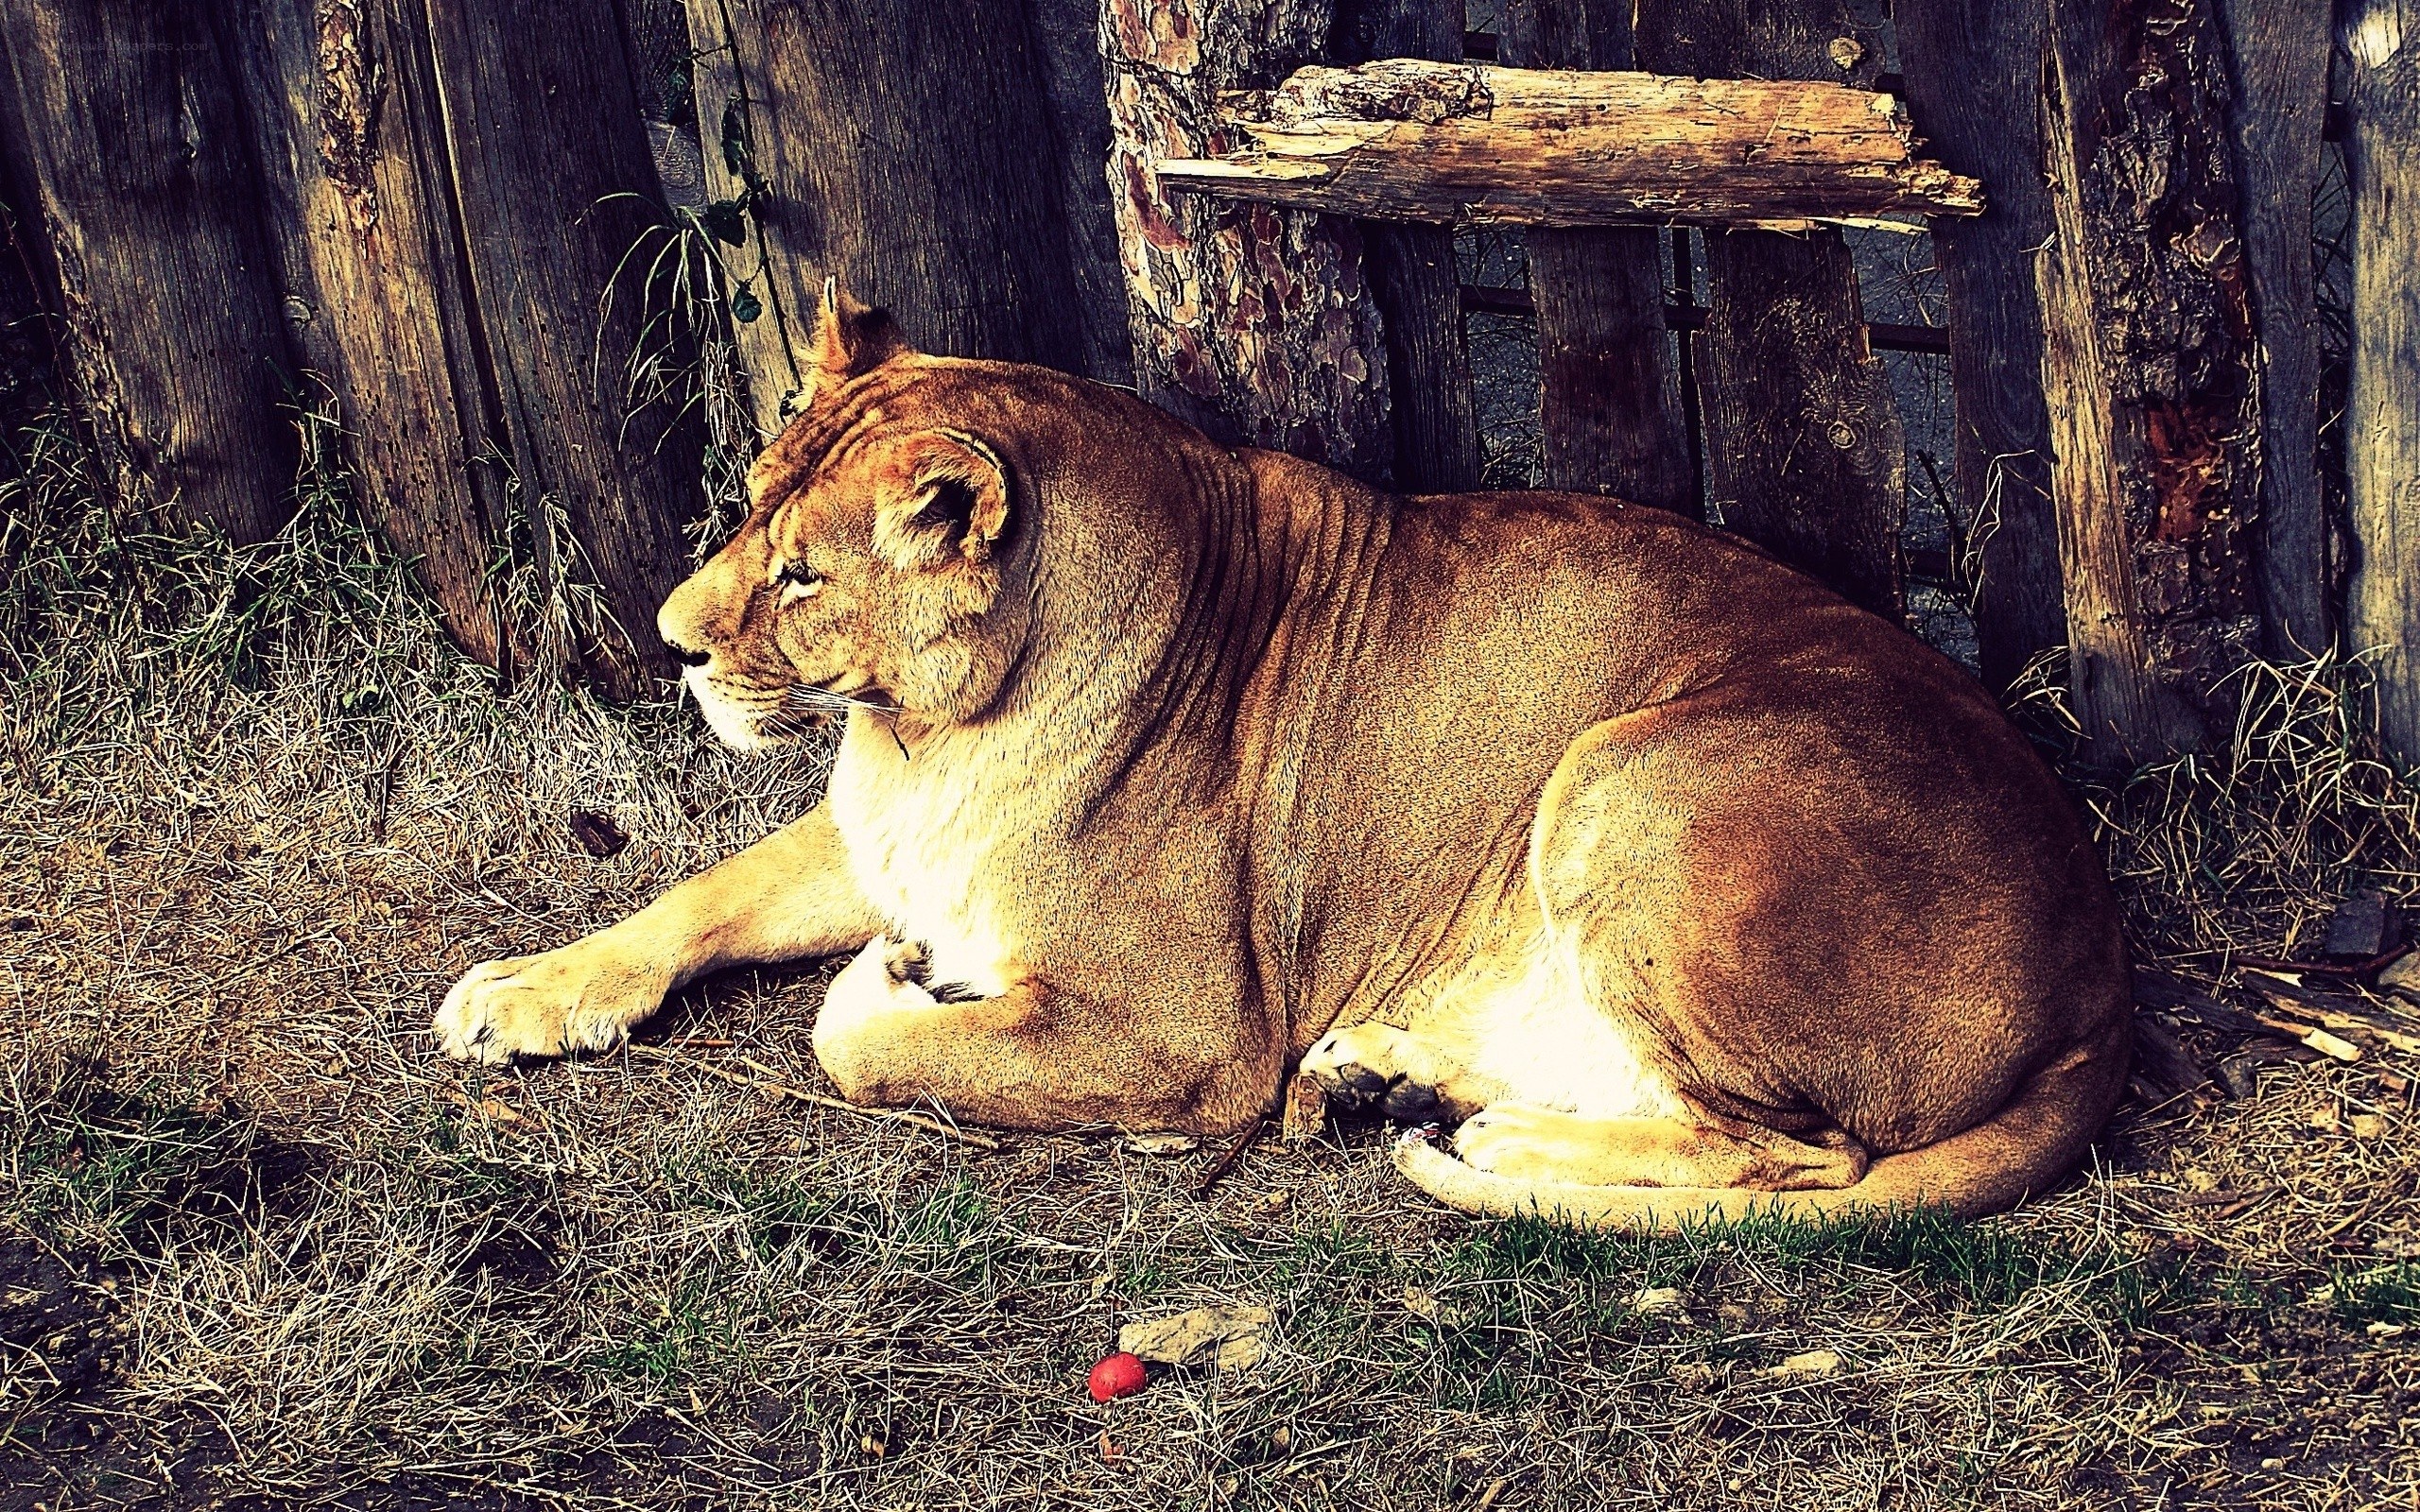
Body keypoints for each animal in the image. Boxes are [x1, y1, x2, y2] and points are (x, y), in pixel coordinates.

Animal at [435, 291, 2132, 1228]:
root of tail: (2099, 978)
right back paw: (1387, 1072)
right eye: (744, 509)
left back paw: (1492, 1130)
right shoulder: (873, 834)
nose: (671, 641)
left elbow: (860, 1049)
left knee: (1807, 1152)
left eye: (800, 577)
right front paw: (523, 990)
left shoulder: (1188, 1037)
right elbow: (694, 897)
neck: (930, 735)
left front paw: (895, 984)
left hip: (1630, 769)